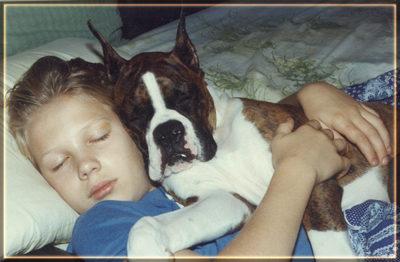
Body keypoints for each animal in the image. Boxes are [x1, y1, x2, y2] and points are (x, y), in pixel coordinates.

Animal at [86, 15, 394, 258]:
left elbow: (328, 244)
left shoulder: (318, 180)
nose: (167, 133)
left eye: (185, 97)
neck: (218, 142)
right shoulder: (225, 200)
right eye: (135, 115)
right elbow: (145, 224)